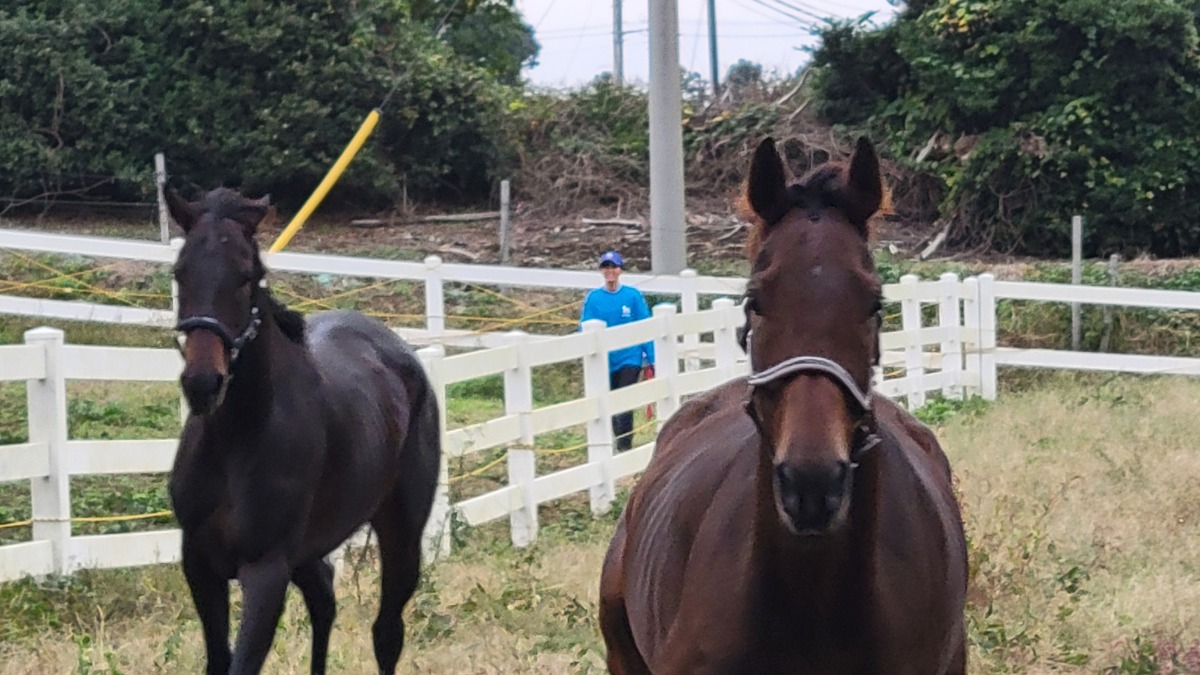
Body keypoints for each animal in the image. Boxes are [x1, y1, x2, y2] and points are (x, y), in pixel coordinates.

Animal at [162, 184, 439, 672]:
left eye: (247, 275)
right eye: (180, 272)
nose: (202, 382)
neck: (238, 439)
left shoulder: (266, 570)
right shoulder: (199, 562)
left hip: (402, 534)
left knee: (387, 632)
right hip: (310, 549)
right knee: (324, 597)